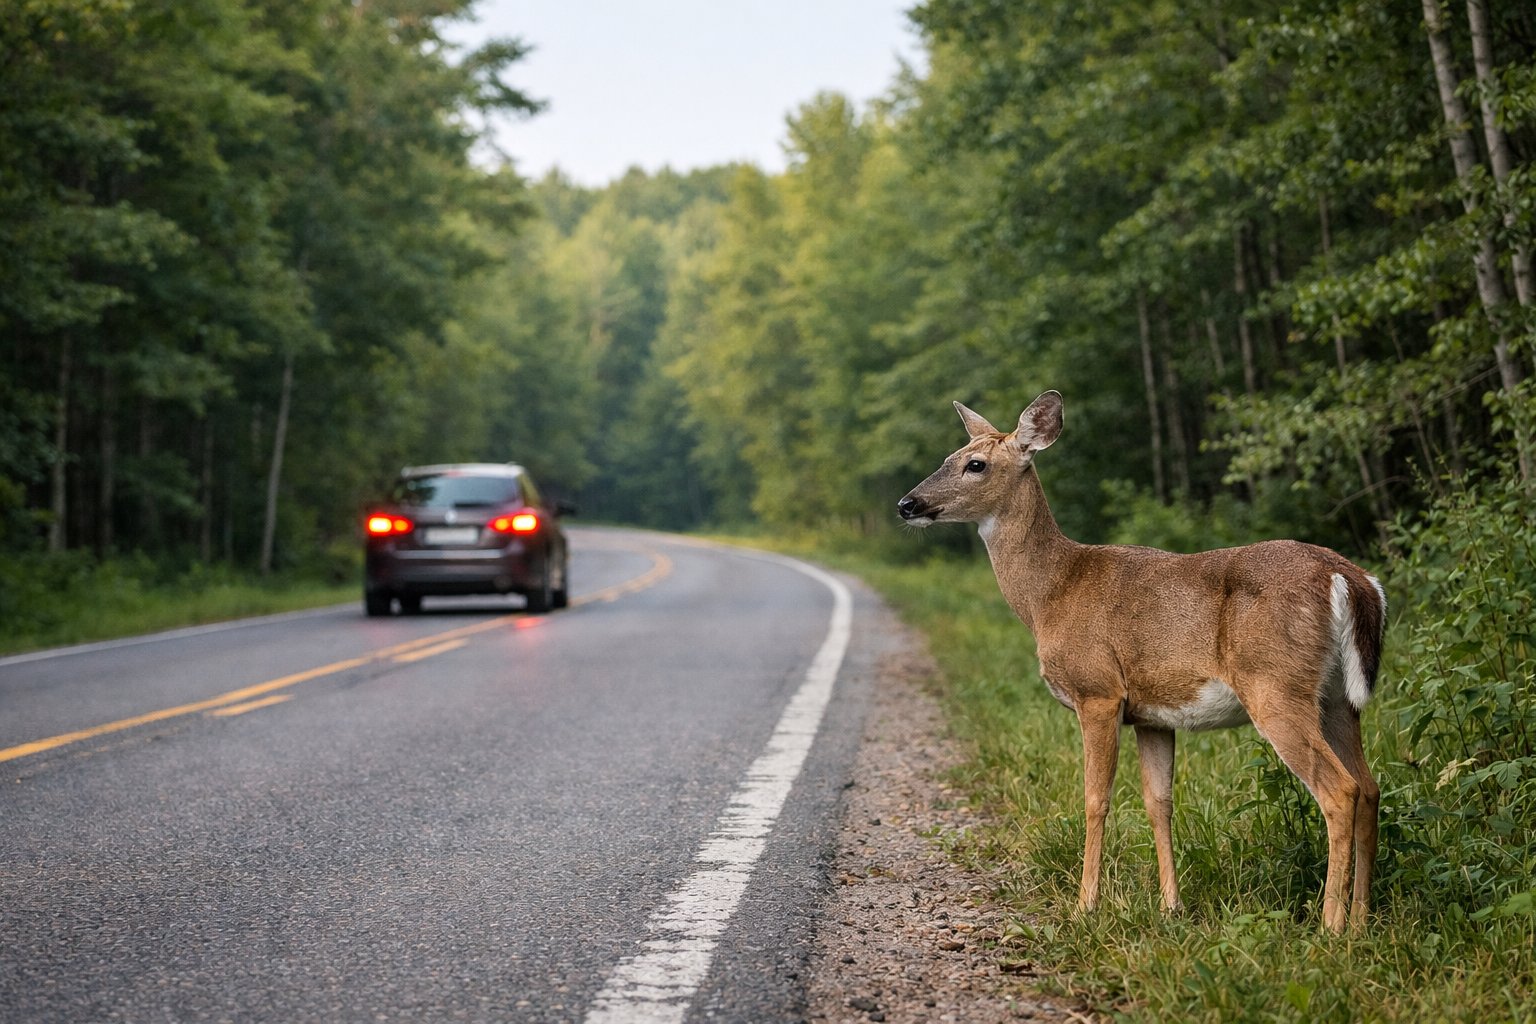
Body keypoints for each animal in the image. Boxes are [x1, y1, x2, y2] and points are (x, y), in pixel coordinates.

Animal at [897, 391, 1386, 933]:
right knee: (1370, 788)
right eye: (948, 457)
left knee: (1340, 791)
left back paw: (1330, 926)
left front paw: (1086, 905)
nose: (907, 504)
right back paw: (1361, 920)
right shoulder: (1153, 714)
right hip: (1338, 697)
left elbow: (1095, 798)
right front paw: (1171, 907)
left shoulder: (1098, 690)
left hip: (1275, 683)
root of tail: (1351, 579)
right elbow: (1159, 802)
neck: (1050, 595)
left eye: (975, 464)